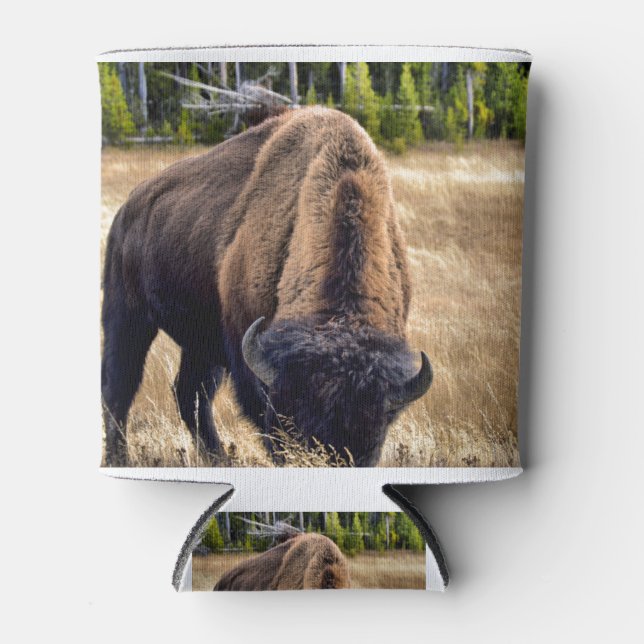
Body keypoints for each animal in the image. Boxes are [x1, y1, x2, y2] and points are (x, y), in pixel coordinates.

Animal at [101, 106, 432, 467]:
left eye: (373, 439)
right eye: (296, 423)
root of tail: (127, 209)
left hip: (200, 341)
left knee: (190, 393)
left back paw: (218, 458)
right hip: (127, 317)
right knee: (119, 387)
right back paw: (120, 458)